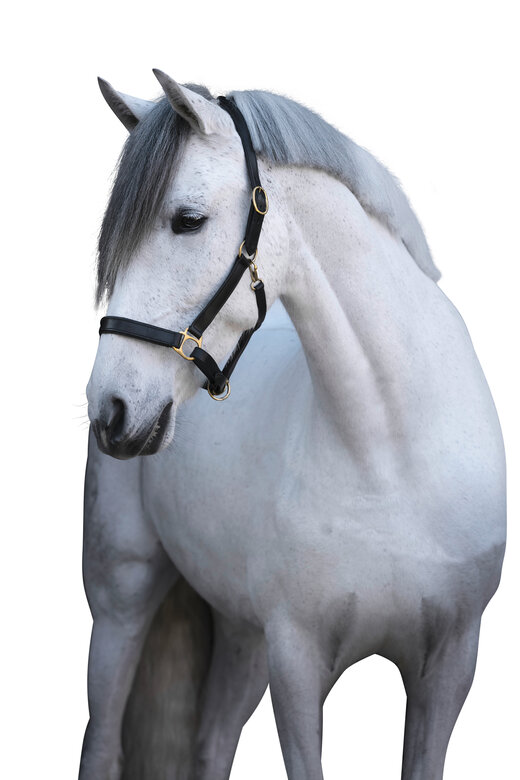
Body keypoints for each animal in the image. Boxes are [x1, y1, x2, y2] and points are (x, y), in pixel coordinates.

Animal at [81, 69, 506, 780]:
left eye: (187, 221)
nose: (109, 409)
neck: (389, 459)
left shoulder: (448, 668)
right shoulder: (298, 664)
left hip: (242, 633)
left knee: (213, 741)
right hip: (123, 598)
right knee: (102, 741)